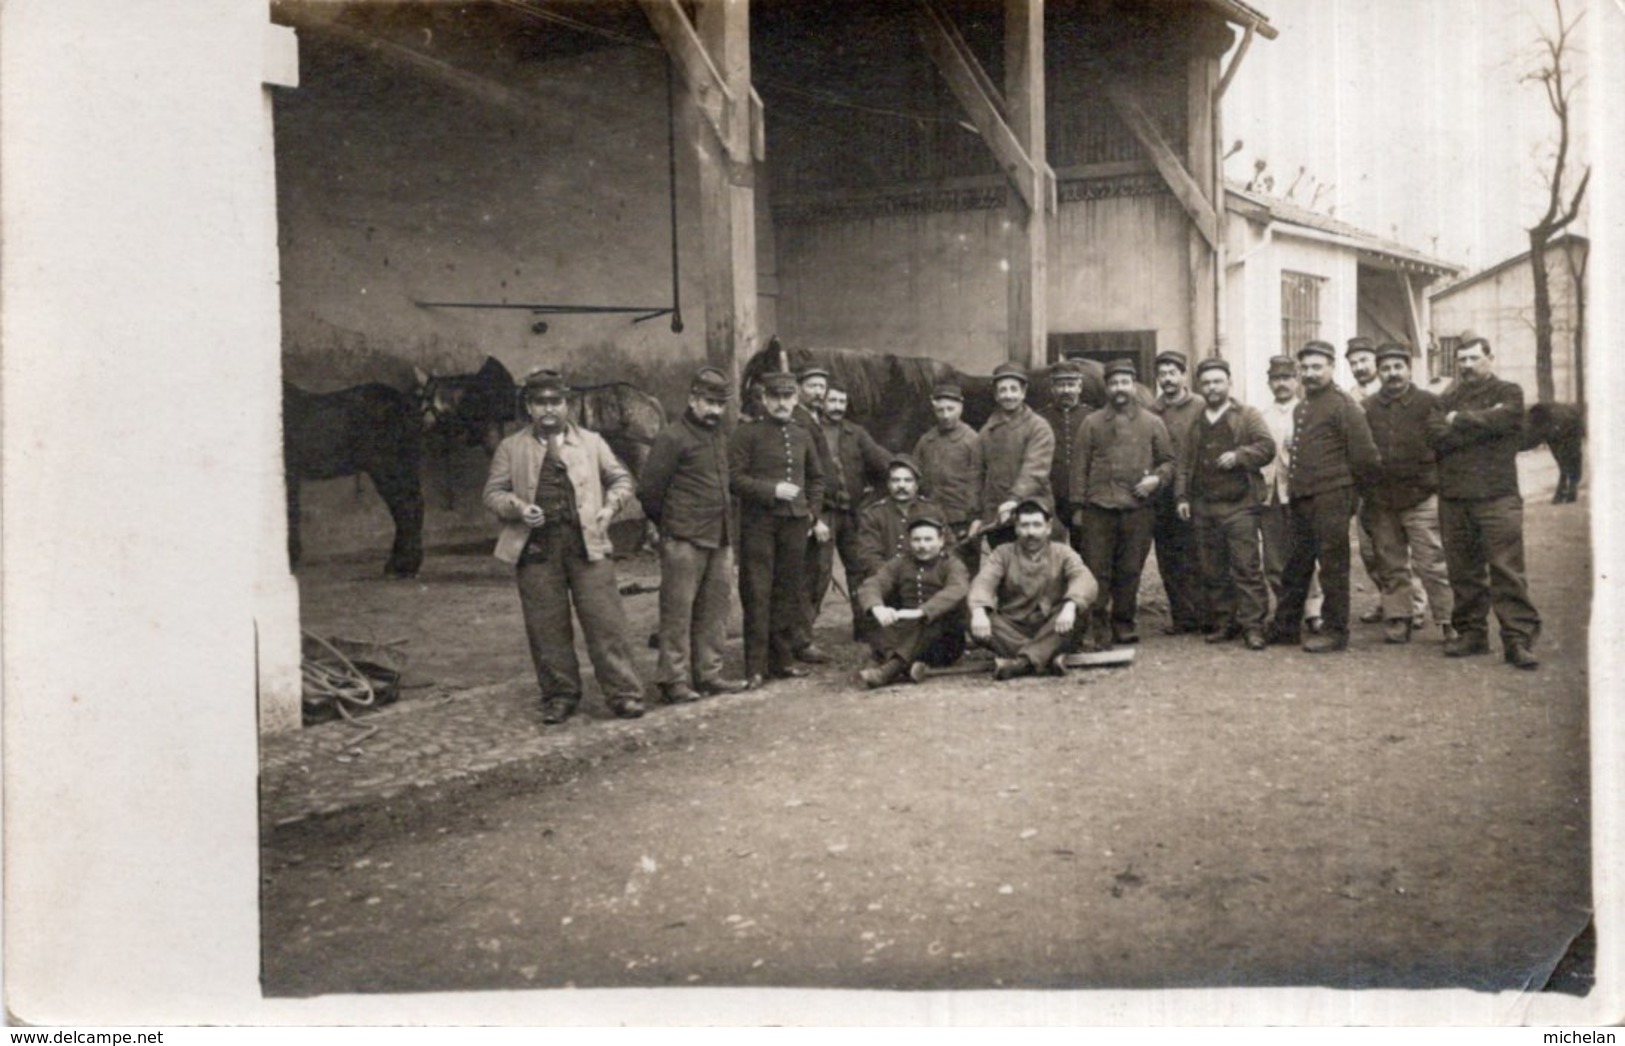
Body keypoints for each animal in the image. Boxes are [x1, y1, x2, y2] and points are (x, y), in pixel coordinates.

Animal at [284, 381, 425, 581]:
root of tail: (407, 404)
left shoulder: (289, 474)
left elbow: (290, 513)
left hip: (387, 468)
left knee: (406, 506)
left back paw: (402, 567)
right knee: (411, 505)